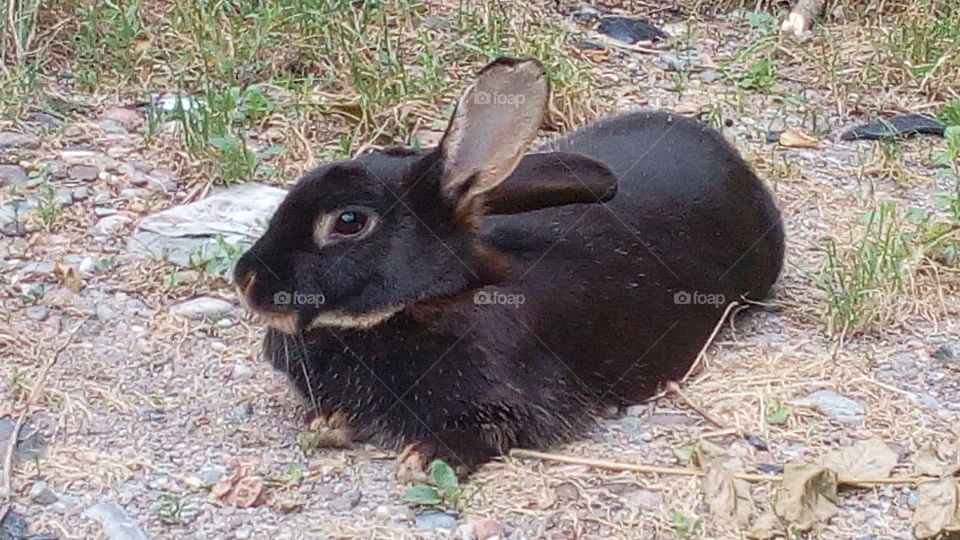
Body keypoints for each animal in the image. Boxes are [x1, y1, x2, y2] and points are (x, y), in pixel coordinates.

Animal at [234, 58, 788, 476]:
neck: (433, 299)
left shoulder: (516, 402)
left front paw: (424, 458)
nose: (246, 280)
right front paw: (327, 423)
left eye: (349, 222)